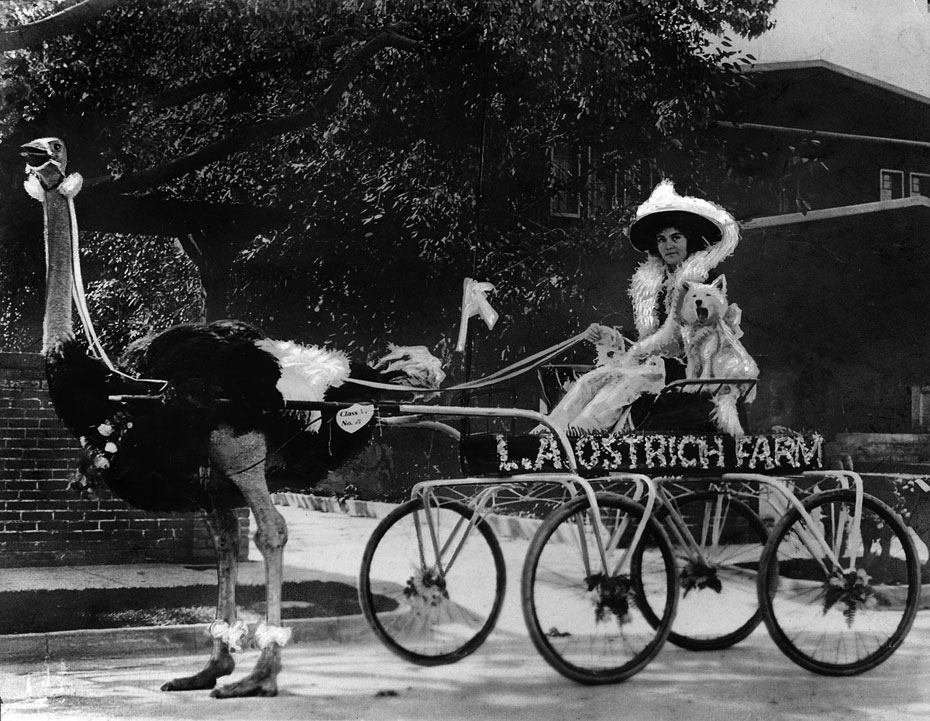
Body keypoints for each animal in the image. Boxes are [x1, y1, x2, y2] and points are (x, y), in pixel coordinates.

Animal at [676, 274, 756, 434]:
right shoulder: (692, 357)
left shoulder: (708, 355)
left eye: (707, 295)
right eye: (694, 296)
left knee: (718, 384)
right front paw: (687, 388)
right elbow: (691, 375)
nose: (698, 302)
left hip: (721, 360)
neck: (700, 327)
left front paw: (696, 388)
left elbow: (703, 376)